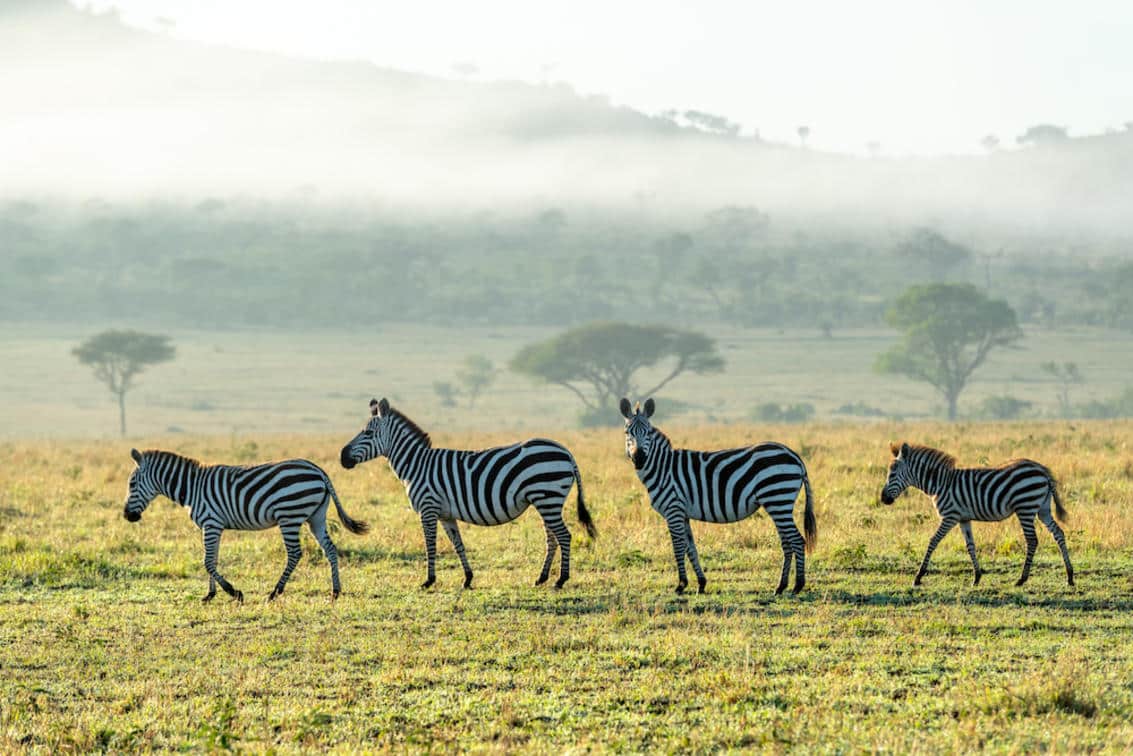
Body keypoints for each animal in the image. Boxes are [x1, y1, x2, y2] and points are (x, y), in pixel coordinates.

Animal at [124, 448, 369, 602]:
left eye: (132, 484)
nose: (127, 516)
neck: (191, 487)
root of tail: (318, 470)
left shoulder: (211, 523)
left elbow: (207, 562)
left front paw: (234, 592)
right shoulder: (213, 527)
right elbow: (212, 560)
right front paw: (210, 595)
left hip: (289, 516)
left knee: (294, 553)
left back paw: (275, 592)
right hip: (316, 517)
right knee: (330, 549)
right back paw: (335, 591)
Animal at [339, 398, 596, 589]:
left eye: (367, 433)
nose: (342, 457)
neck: (417, 465)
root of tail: (566, 452)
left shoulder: (428, 508)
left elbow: (430, 545)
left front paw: (429, 581)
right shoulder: (445, 514)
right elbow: (458, 545)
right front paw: (468, 578)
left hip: (548, 498)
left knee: (564, 536)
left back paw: (561, 580)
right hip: (545, 501)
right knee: (551, 538)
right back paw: (541, 578)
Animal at [620, 398, 817, 595]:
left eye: (648, 432)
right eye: (627, 432)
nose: (639, 458)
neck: (663, 468)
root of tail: (795, 456)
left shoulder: (673, 509)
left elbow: (678, 546)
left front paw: (681, 584)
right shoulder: (683, 513)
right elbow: (691, 548)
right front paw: (701, 583)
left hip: (778, 499)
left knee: (797, 540)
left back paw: (798, 585)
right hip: (778, 504)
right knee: (787, 543)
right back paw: (781, 586)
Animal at [881, 442, 1074, 587]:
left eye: (892, 473)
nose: (883, 499)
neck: (940, 483)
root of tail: (1041, 469)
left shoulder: (950, 516)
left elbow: (933, 541)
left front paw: (918, 576)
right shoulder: (963, 518)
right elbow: (970, 546)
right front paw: (977, 577)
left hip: (1025, 508)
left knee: (1032, 540)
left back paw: (1022, 579)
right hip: (1042, 509)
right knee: (1058, 533)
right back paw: (1070, 576)